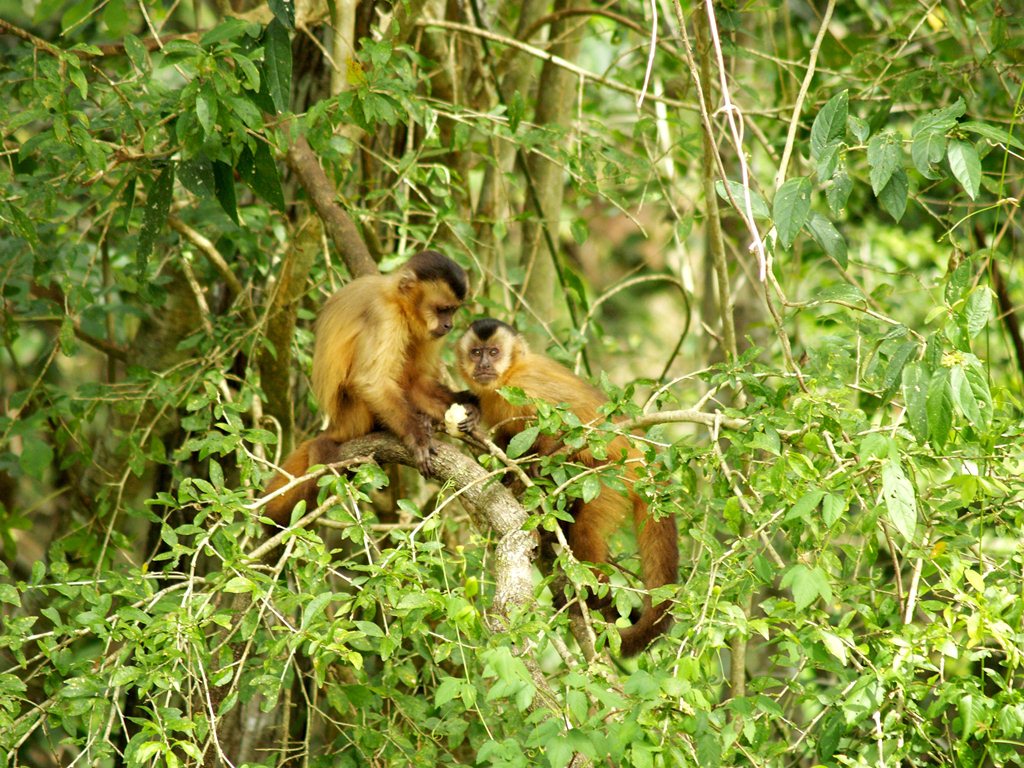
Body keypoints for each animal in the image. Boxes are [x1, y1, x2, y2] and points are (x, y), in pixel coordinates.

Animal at [262, 249, 473, 528]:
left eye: (453, 312)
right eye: (442, 310)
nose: (449, 325)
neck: (397, 301)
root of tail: (336, 424)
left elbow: (416, 381)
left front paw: (468, 405)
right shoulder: (385, 316)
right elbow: (370, 381)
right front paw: (417, 436)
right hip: (353, 415)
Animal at [456, 319, 679, 655]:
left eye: (493, 352)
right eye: (476, 352)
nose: (483, 364)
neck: (509, 374)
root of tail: (640, 453)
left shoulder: (527, 383)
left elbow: (567, 421)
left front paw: (542, 462)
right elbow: (508, 441)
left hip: (612, 478)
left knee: (586, 527)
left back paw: (595, 595)